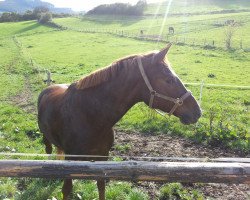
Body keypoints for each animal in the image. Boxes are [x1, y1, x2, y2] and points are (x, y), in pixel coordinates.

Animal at [37, 44, 201, 199]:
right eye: (169, 80)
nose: (197, 111)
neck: (90, 116)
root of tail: (48, 88)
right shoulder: (71, 161)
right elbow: (66, 190)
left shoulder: (103, 158)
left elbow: (101, 186)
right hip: (46, 139)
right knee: (48, 151)